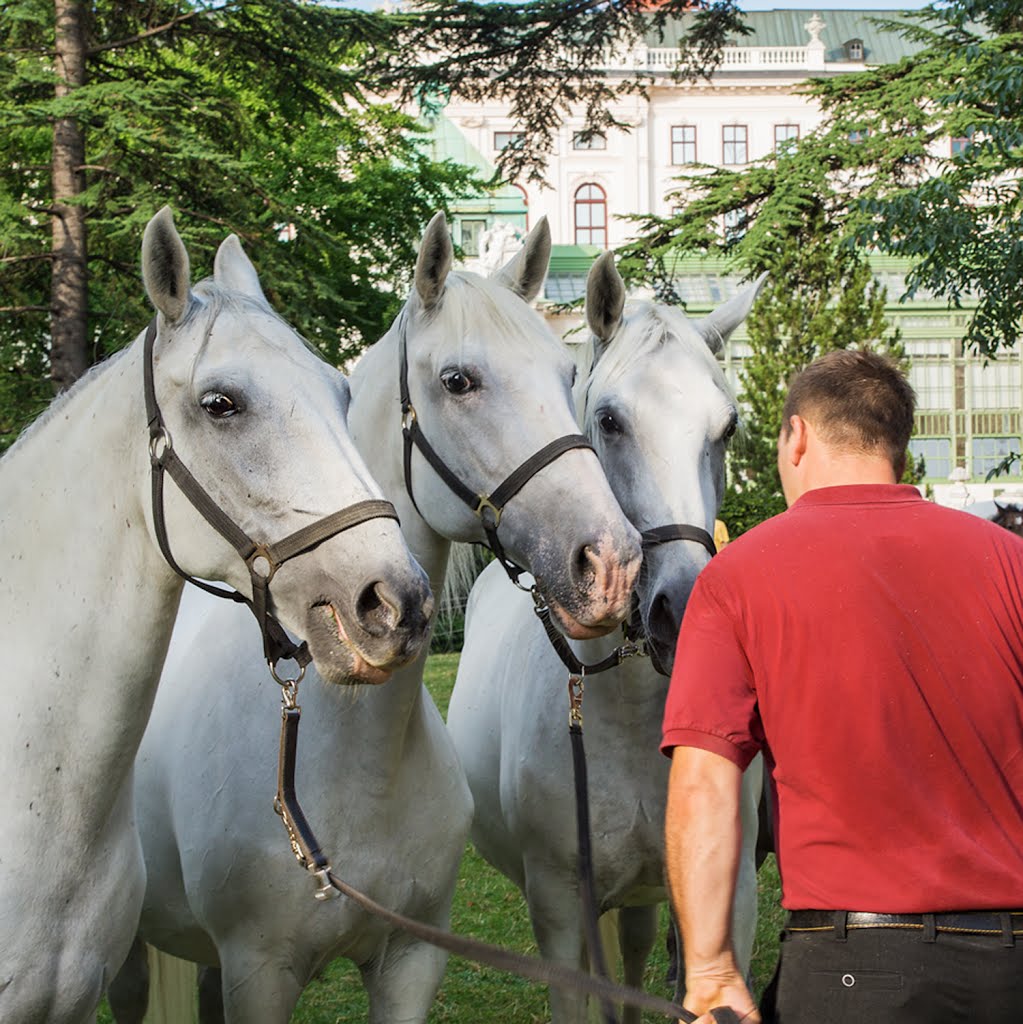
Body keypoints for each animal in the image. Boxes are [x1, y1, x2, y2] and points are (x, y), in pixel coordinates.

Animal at [110, 211, 638, 1019]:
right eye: (457, 381)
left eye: (566, 375)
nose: (608, 563)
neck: (350, 754)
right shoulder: (259, 974)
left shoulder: (409, 960)